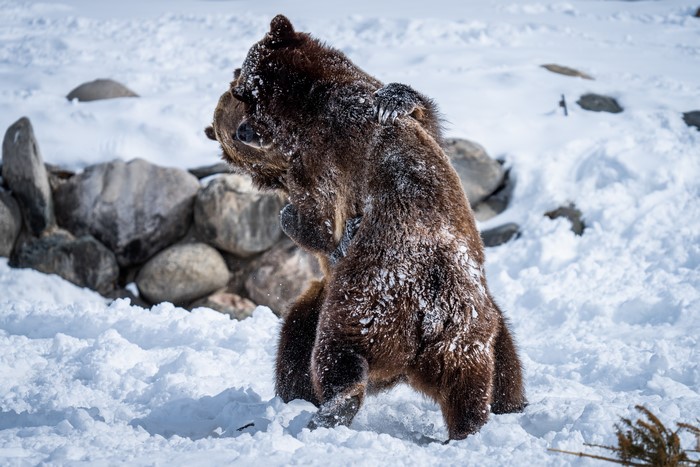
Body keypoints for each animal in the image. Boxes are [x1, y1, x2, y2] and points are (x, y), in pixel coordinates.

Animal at [210, 15, 526, 440]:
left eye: (242, 91)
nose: (242, 132)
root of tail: (428, 314)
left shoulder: (320, 152)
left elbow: (318, 215)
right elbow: (432, 128)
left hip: (363, 301)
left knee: (330, 349)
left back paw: (327, 410)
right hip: (465, 336)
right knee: (480, 375)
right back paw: (486, 417)